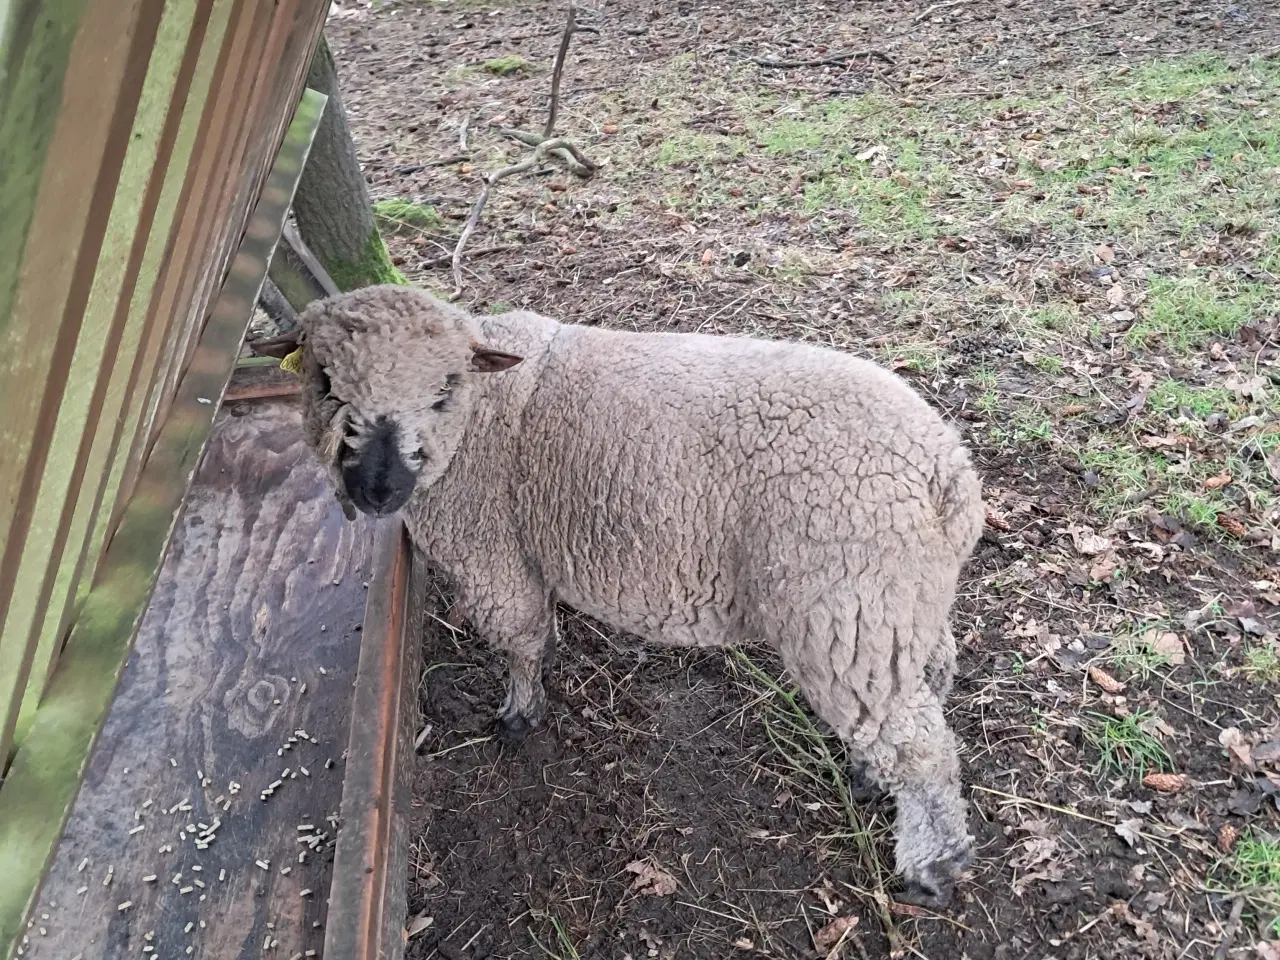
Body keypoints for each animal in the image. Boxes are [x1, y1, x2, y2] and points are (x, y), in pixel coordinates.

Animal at [285, 284, 983, 911]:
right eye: (326, 385)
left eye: (442, 391)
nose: (376, 492)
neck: (481, 417)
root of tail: (944, 470)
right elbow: (537, 628)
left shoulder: (490, 554)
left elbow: (518, 637)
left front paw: (519, 713)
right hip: (902, 600)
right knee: (930, 677)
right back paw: (872, 778)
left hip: (848, 605)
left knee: (919, 743)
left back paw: (933, 868)